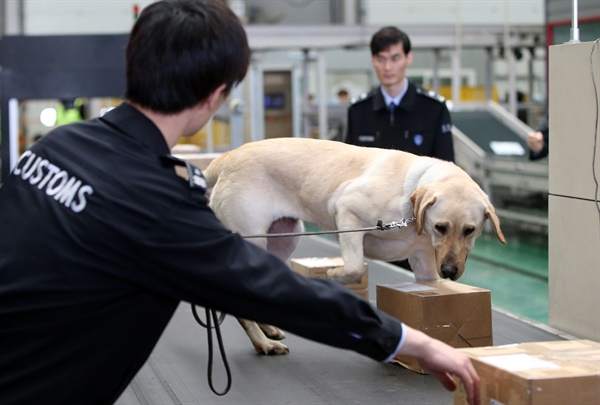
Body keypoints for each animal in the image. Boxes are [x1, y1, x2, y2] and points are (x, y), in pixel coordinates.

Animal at [204, 137, 504, 354]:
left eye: (470, 231)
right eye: (441, 227)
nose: (450, 271)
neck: (410, 196)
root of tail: (225, 158)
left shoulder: (424, 264)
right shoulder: (347, 212)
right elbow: (354, 267)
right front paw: (332, 276)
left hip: (284, 239)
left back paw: (267, 331)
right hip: (253, 238)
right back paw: (263, 344)